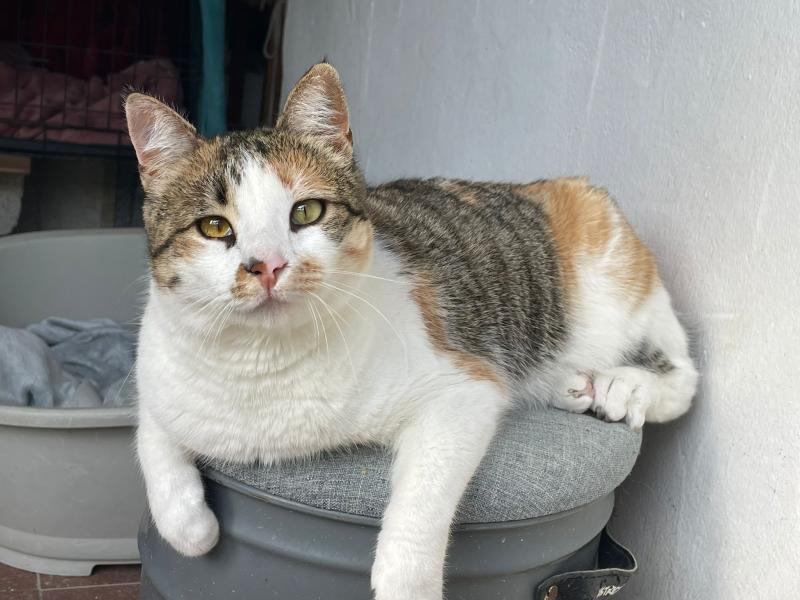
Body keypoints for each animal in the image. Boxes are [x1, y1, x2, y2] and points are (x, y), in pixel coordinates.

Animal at [126, 63, 697, 600]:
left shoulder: (460, 390)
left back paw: (620, 386)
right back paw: (570, 385)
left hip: (614, 282)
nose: (267, 265)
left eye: (305, 211)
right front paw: (193, 526)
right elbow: (151, 439)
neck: (263, 366)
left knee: (683, 373)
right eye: (214, 227)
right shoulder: (160, 380)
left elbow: (423, 496)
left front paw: (406, 584)